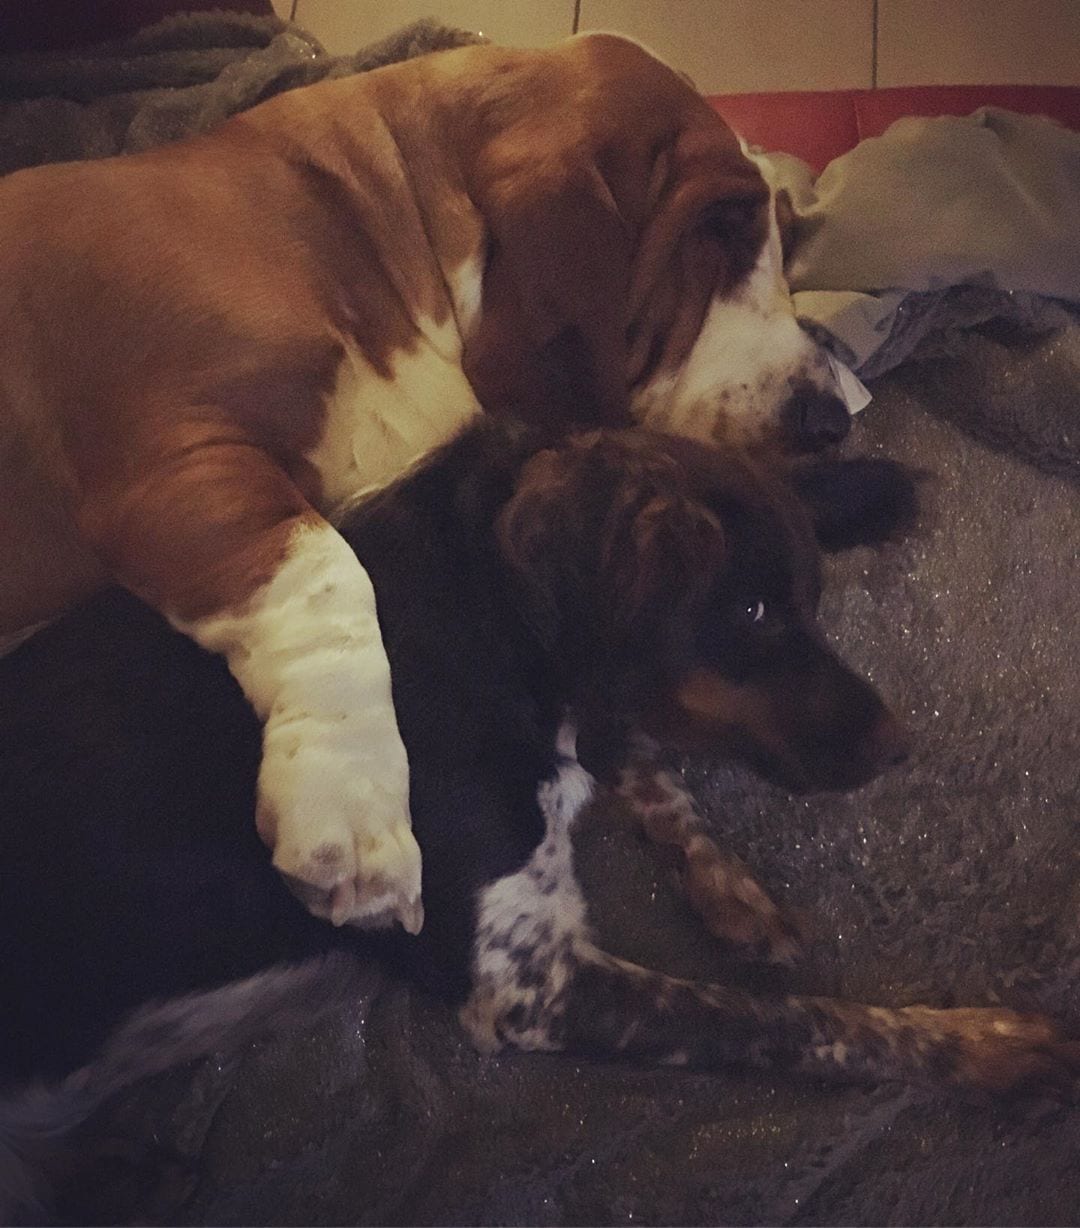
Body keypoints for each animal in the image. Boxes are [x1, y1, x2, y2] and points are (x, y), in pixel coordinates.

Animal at [0, 31, 855, 928]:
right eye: (722, 228)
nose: (833, 417)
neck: (356, 239)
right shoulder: (170, 463)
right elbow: (328, 573)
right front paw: (350, 802)